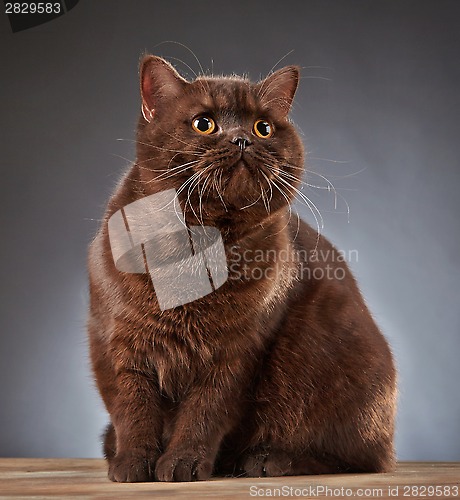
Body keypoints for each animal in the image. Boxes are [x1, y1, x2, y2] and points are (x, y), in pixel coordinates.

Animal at [88, 53, 398, 480]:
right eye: (204, 123)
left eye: (263, 128)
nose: (241, 139)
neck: (199, 245)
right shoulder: (121, 345)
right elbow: (132, 408)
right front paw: (135, 463)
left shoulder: (236, 352)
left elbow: (205, 410)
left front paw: (184, 462)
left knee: (356, 458)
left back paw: (265, 460)